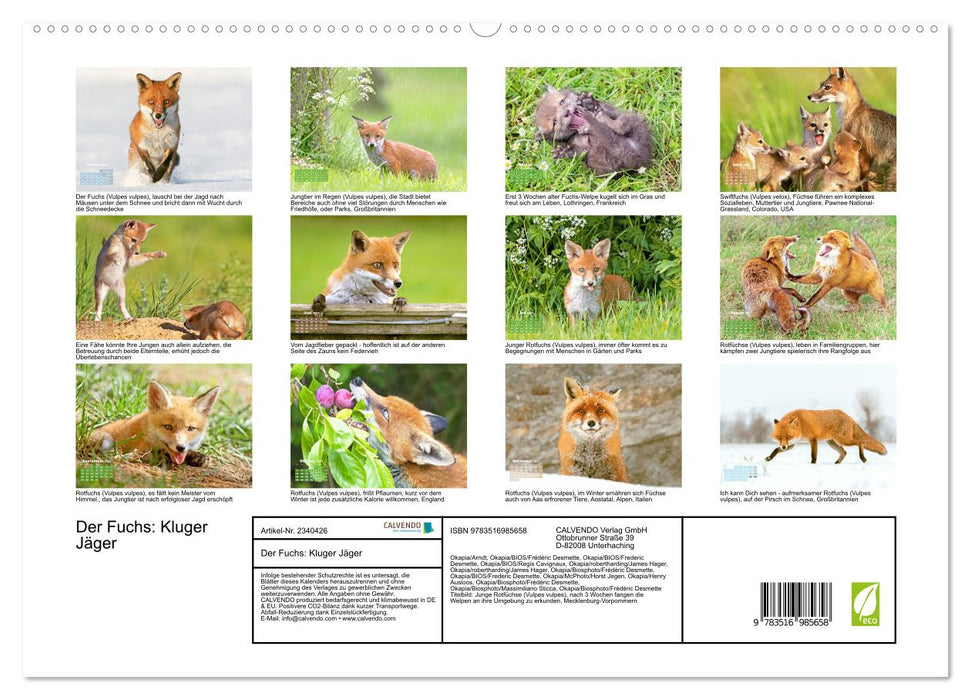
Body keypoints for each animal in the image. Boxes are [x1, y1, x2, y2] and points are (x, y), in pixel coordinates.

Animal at [86, 381, 220, 467]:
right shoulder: (139, 450)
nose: (180, 447)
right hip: (105, 440)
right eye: (168, 427)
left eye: (191, 429)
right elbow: (156, 455)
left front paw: (197, 456)